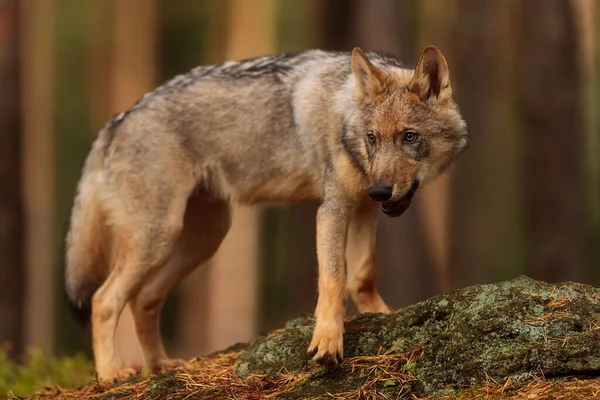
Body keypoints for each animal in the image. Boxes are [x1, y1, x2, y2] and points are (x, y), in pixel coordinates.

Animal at [64, 43, 468, 382]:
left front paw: (382, 316)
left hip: (201, 240)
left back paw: (160, 365)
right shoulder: (332, 209)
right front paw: (327, 342)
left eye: (409, 136)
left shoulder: (364, 209)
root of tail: (115, 121)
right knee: (103, 300)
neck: (345, 113)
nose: (380, 190)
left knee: (143, 299)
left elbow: (362, 276)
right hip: (159, 236)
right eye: (372, 138)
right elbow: (334, 281)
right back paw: (112, 374)